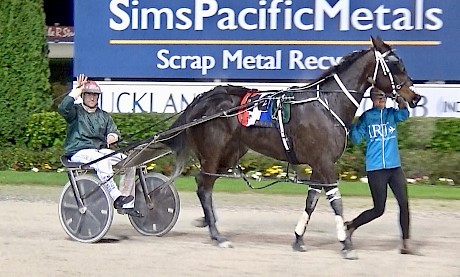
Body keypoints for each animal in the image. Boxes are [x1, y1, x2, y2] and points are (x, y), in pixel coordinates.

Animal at [162, 35, 420, 258]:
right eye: (396, 65)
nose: (415, 96)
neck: (328, 103)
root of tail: (205, 97)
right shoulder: (325, 163)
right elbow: (336, 201)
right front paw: (346, 245)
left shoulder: (319, 164)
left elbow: (312, 201)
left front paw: (299, 239)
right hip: (213, 153)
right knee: (204, 188)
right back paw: (217, 236)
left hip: (229, 154)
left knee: (204, 184)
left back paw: (208, 222)